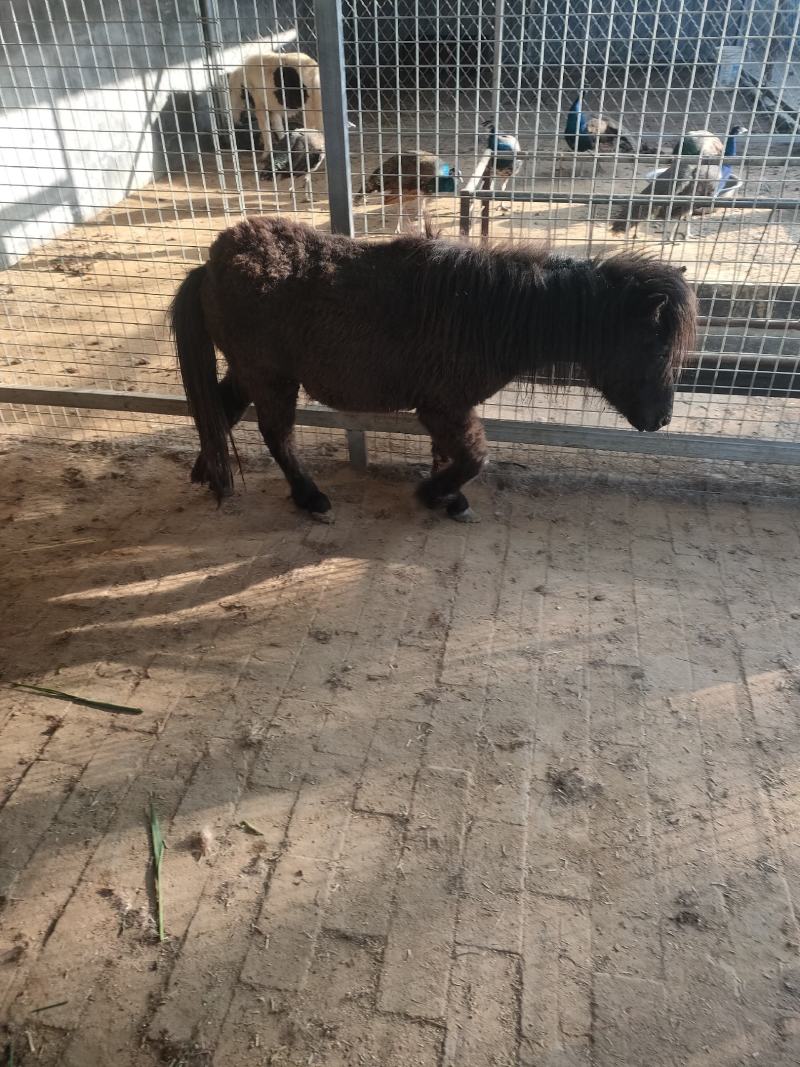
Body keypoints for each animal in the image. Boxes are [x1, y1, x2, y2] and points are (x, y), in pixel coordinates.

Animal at [170, 217, 696, 522]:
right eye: (656, 351)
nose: (662, 420)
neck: (485, 313)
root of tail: (210, 266)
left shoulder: (446, 408)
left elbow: (451, 454)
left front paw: (449, 500)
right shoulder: (443, 405)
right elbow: (473, 458)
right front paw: (432, 495)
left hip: (250, 372)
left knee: (220, 410)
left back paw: (209, 474)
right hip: (272, 377)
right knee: (276, 435)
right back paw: (310, 498)